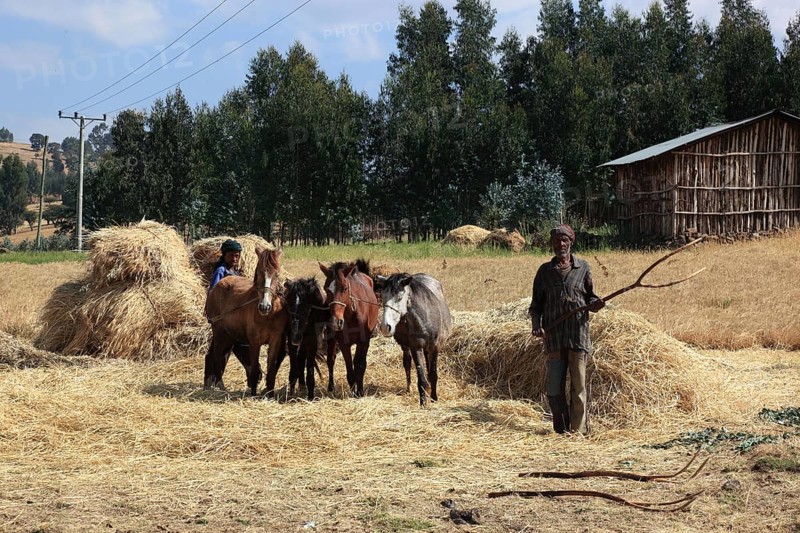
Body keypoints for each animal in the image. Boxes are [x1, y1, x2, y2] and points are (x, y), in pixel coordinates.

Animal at [204, 246, 288, 397]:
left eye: (277, 275)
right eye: (258, 273)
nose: (264, 306)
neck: (269, 315)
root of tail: (218, 285)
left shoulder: (275, 341)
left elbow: (271, 369)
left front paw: (269, 393)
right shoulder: (254, 342)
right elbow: (254, 369)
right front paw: (253, 393)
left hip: (229, 336)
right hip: (219, 333)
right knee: (217, 355)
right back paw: (219, 385)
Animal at [319, 259, 379, 397]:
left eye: (345, 288)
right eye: (326, 289)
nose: (335, 322)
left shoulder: (364, 342)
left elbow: (360, 365)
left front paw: (360, 391)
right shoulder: (343, 343)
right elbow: (350, 369)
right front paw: (353, 392)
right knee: (331, 360)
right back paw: (331, 387)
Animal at [378, 273, 452, 406]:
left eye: (399, 297)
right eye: (383, 296)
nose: (385, 327)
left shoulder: (435, 347)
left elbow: (433, 374)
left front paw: (434, 398)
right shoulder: (415, 347)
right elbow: (421, 378)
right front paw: (423, 403)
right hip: (406, 347)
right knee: (407, 363)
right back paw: (409, 388)